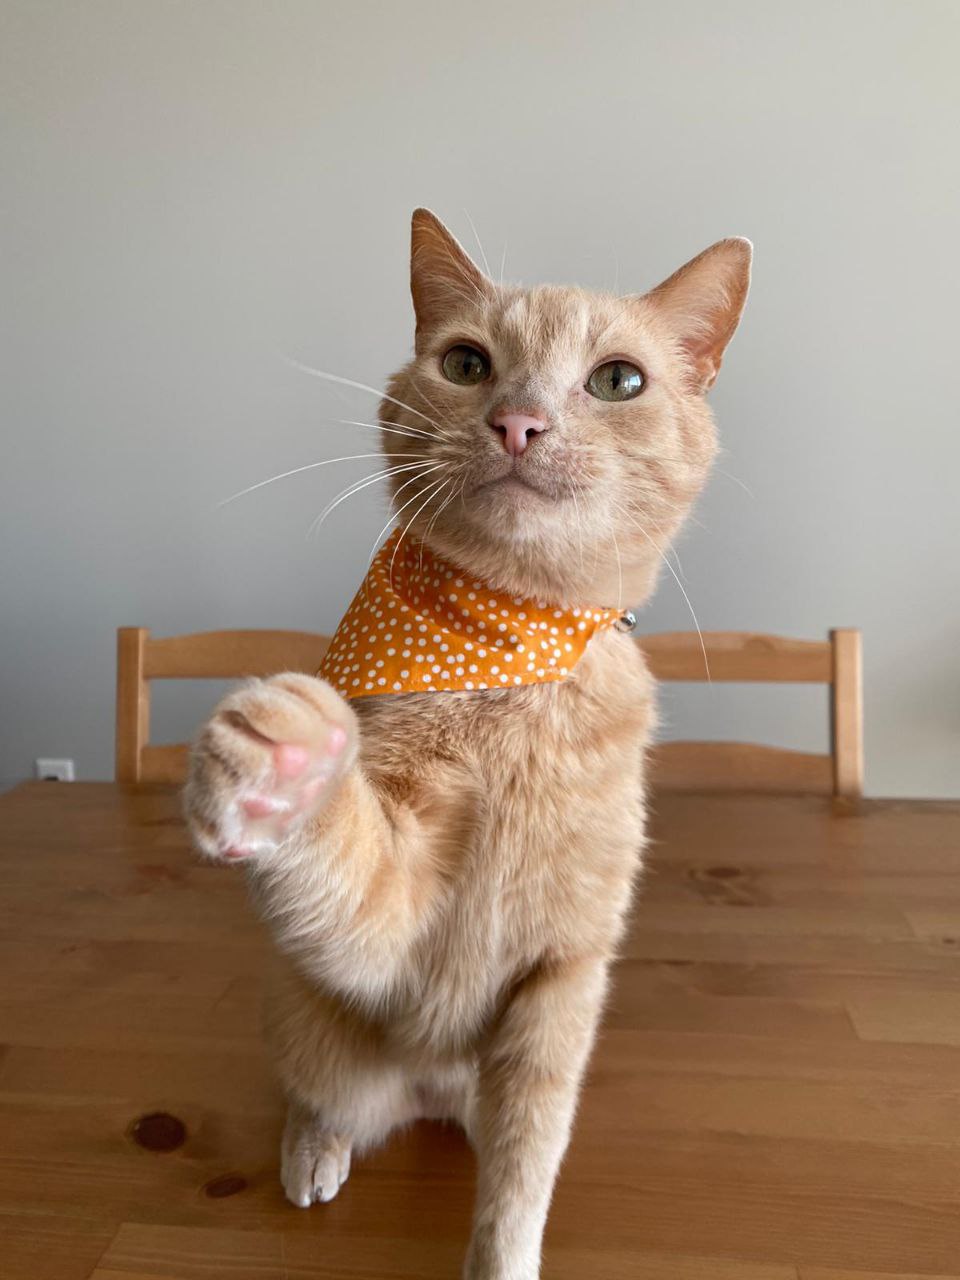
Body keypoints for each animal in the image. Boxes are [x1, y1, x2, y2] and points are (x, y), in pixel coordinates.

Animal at [180, 212, 752, 1280]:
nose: (518, 422)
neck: (510, 674)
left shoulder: (563, 978)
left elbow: (527, 1160)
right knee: (319, 1099)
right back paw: (311, 1152)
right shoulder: (402, 932)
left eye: (618, 380)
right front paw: (292, 770)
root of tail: (434, 1092)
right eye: (466, 363)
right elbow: (352, 867)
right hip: (320, 1035)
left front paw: (504, 1255)